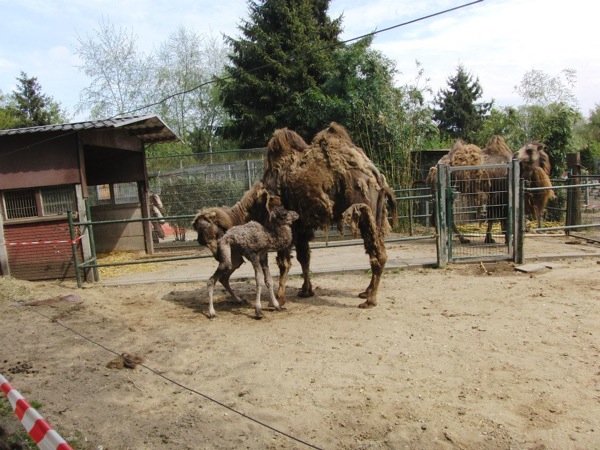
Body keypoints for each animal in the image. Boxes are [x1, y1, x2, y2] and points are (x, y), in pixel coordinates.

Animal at [262, 121, 398, 308]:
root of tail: (373, 172)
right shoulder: (302, 225)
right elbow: (304, 257)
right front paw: (306, 291)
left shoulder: (286, 223)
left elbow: (284, 262)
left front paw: (279, 299)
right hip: (376, 216)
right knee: (376, 251)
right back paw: (366, 292)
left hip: (363, 212)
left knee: (378, 255)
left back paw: (370, 300)